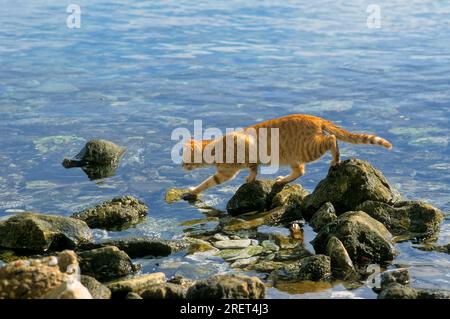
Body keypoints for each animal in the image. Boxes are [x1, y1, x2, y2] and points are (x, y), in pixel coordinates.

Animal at [181, 115, 392, 199]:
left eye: (185, 159)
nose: (182, 167)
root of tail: (315, 117)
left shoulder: (227, 172)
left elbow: (207, 182)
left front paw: (193, 190)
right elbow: (253, 168)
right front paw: (251, 178)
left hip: (310, 148)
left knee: (332, 139)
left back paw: (335, 160)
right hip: (293, 157)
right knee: (300, 170)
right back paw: (282, 180)